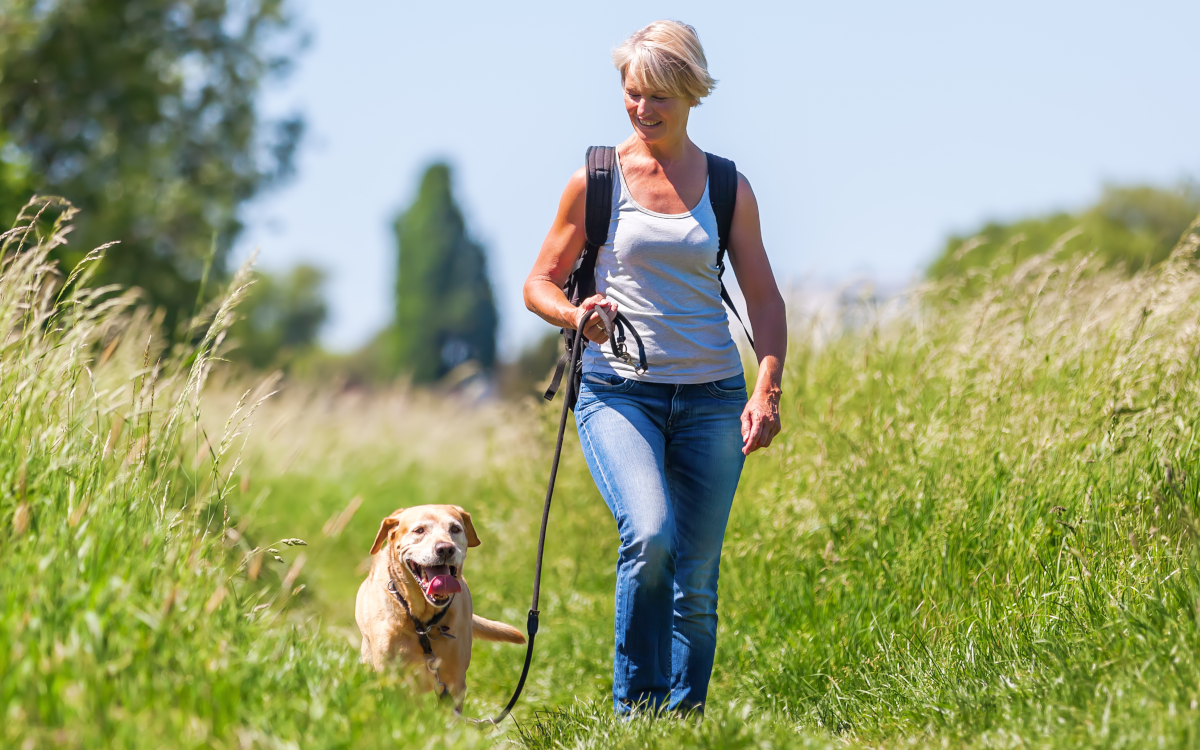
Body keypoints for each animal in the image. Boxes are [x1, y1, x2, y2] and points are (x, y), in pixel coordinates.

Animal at [352, 504, 528, 700]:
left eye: (455, 529)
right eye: (419, 530)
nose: (445, 549)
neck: (422, 621)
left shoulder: (455, 682)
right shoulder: (393, 679)